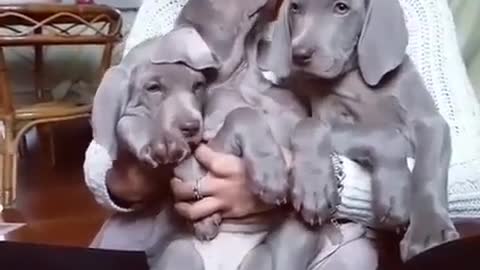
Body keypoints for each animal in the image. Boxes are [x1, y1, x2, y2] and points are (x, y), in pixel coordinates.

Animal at [256, 0, 460, 262]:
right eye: (295, 8)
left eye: (342, 8)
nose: (298, 54)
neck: (356, 78)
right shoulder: (330, 118)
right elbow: (321, 125)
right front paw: (315, 186)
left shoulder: (430, 123)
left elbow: (428, 171)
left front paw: (429, 232)